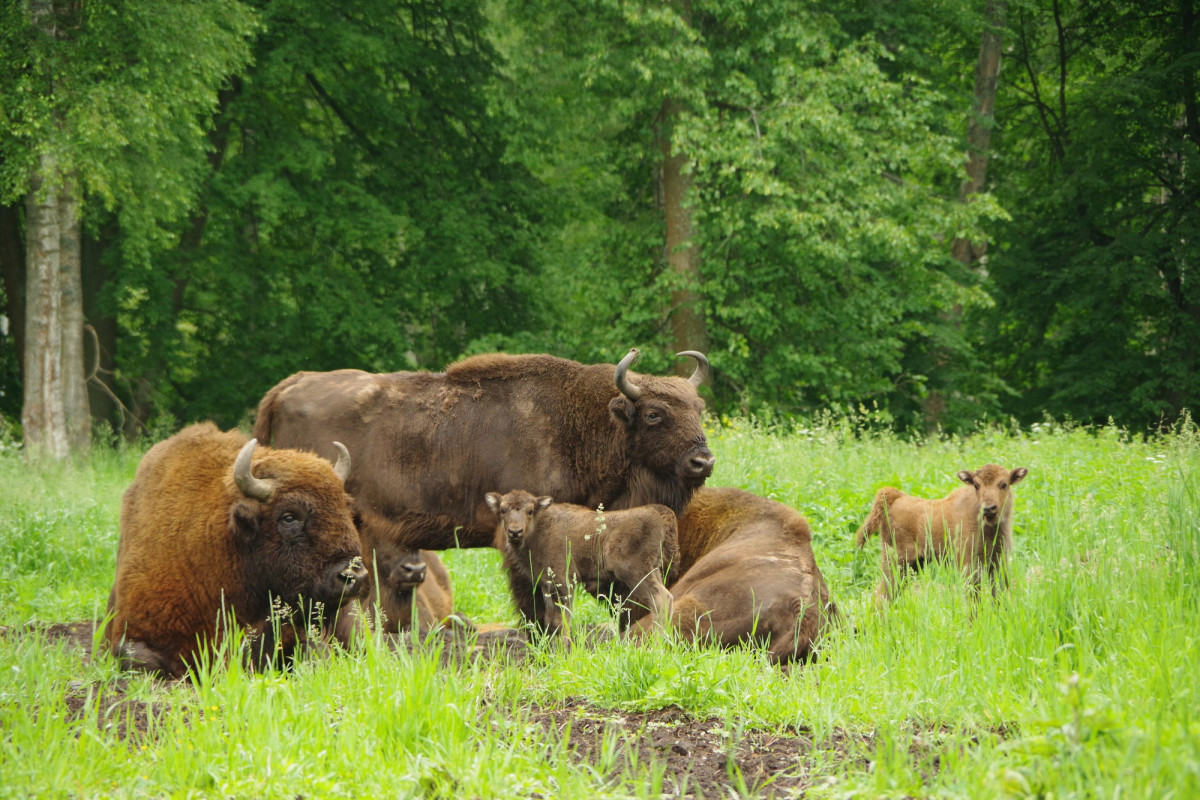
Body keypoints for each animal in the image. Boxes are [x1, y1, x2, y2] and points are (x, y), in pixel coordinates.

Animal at [484, 489, 676, 638]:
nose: (515, 531)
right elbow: (550, 621)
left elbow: (563, 621)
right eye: (502, 510)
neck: (539, 528)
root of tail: (658, 517)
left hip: (636, 573)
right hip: (654, 570)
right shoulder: (546, 584)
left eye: (530, 510)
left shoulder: (564, 581)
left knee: (661, 599)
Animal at [854, 460, 1032, 604]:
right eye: (976, 485)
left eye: (1004, 484)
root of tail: (894, 498)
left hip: (913, 565)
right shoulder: (968, 564)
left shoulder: (998, 561)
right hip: (896, 561)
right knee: (882, 595)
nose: (988, 508)